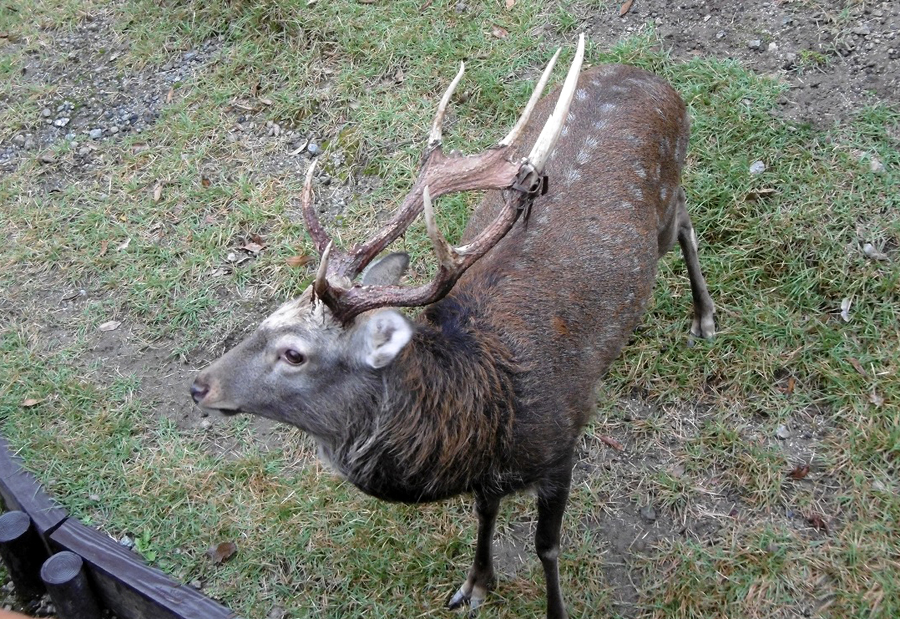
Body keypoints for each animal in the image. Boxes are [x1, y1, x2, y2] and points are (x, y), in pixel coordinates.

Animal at [192, 35, 716, 619]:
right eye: (266, 318)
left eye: (293, 353)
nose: (200, 385)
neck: (485, 418)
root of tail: (655, 78)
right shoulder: (489, 479)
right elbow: (485, 513)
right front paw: (476, 583)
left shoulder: (562, 443)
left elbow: (548, 546)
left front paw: (552, 607)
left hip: (666, 203)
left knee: (686, 219)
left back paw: (704, 315)